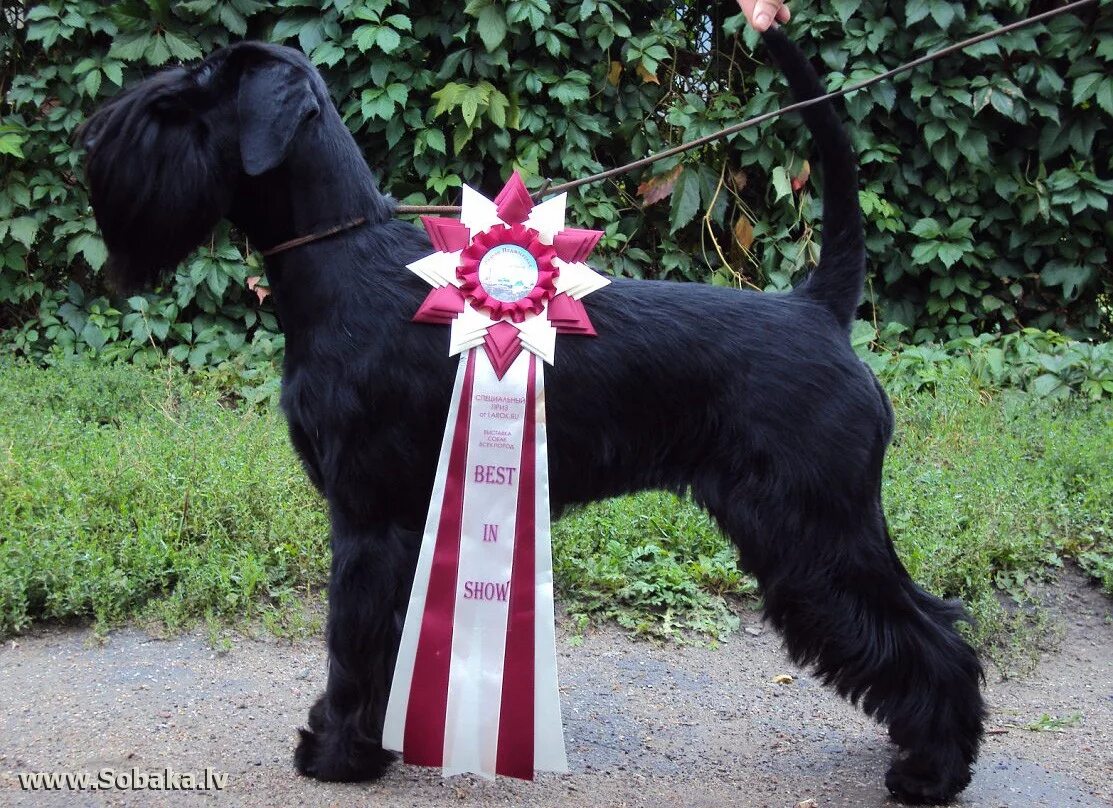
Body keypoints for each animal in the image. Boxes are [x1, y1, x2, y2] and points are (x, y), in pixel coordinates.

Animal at [80, 28, 983, 805]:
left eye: (187, 99)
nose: (89, 145)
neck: (340, 265)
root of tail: (819, 309)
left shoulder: (366, 519)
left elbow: (353, 640)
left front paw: (336, 753)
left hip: (817, 529)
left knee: (929, 636)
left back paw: (930, 773)